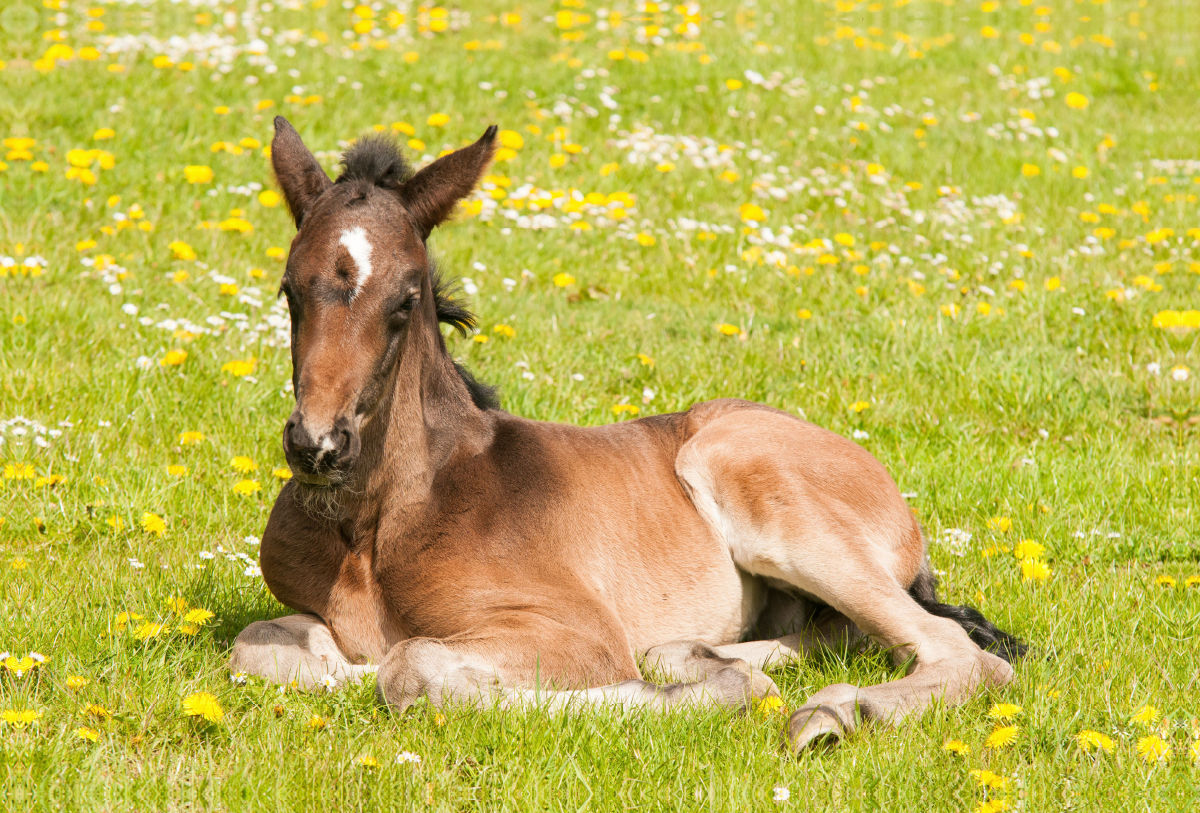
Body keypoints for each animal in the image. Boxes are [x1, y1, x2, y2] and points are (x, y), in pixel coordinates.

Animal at [226, 118, 1022, 753]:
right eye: (290, 290)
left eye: (404, 299)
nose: (318, 446)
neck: (371, 527)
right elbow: (259, 647)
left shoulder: (575, 632)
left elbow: (408, 667)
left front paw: (710, 692)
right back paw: (703, 655)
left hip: (748, 477)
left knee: (963, 652)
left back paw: (825, 712)